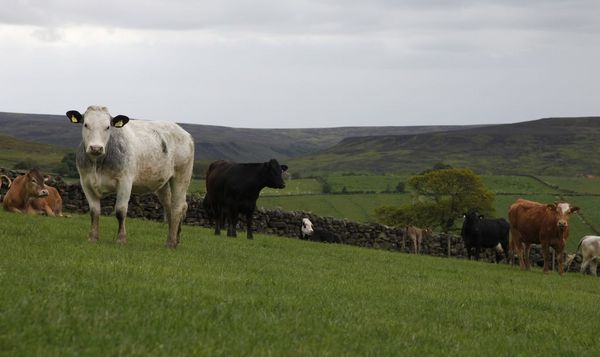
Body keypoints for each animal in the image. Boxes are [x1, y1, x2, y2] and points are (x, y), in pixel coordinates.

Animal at [67, 104, 195, 246]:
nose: (96, 148)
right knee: (169, 208)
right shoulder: (86, 182)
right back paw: (174, 239)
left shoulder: (125, 182)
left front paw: (121, 239)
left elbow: (120, 211)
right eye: (86, 124)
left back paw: (171, 243)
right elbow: (94, 211)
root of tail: (184, 133)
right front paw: (93, 237)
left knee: (178, 207)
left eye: (108, 126)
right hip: (163, 183)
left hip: (181, 177)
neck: (97, 163)